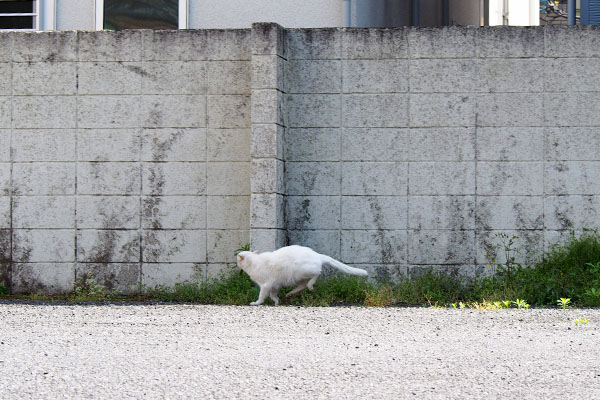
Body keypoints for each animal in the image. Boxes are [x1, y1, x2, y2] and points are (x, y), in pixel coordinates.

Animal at [237, 244, 368, 306]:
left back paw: (310, 286)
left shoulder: (266, 284)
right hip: (295, 277)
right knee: (303, 285)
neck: (253, 262)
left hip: (302, 271)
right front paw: (277, 302)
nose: (236, 260)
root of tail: (317, 255)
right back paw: (290, 294)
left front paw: (256, 303)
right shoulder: (275, 285)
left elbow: (262, 296)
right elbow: (272, 295)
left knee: (317, 274)